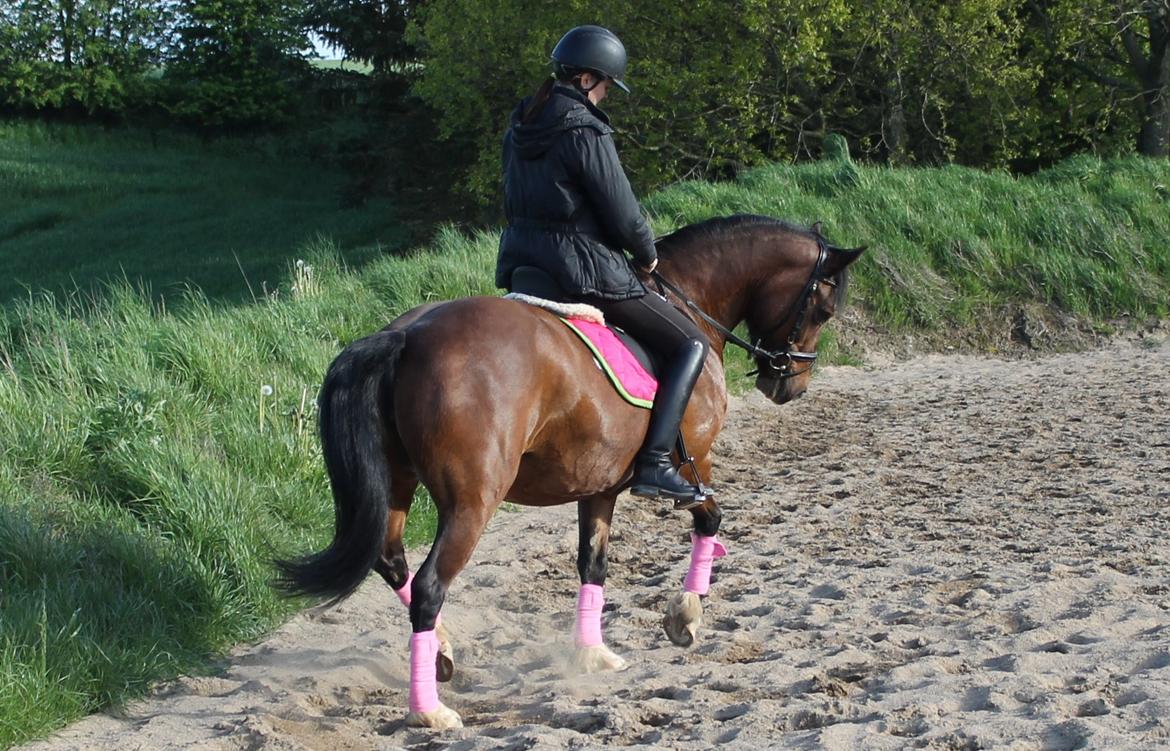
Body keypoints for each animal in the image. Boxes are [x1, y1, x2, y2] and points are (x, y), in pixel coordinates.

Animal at [276, 215, 865, 729]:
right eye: (822, 308)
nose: (790, 386)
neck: (686, 299)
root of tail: (405, 336)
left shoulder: (599, 486)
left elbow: (593, 565)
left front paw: (592, 654)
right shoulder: (694, 461)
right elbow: (709, 522)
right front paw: (685, 616)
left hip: (399, 484)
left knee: (390, 558)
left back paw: (443, 653)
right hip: (472, 502)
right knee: (427, 586)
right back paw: (431, 711)